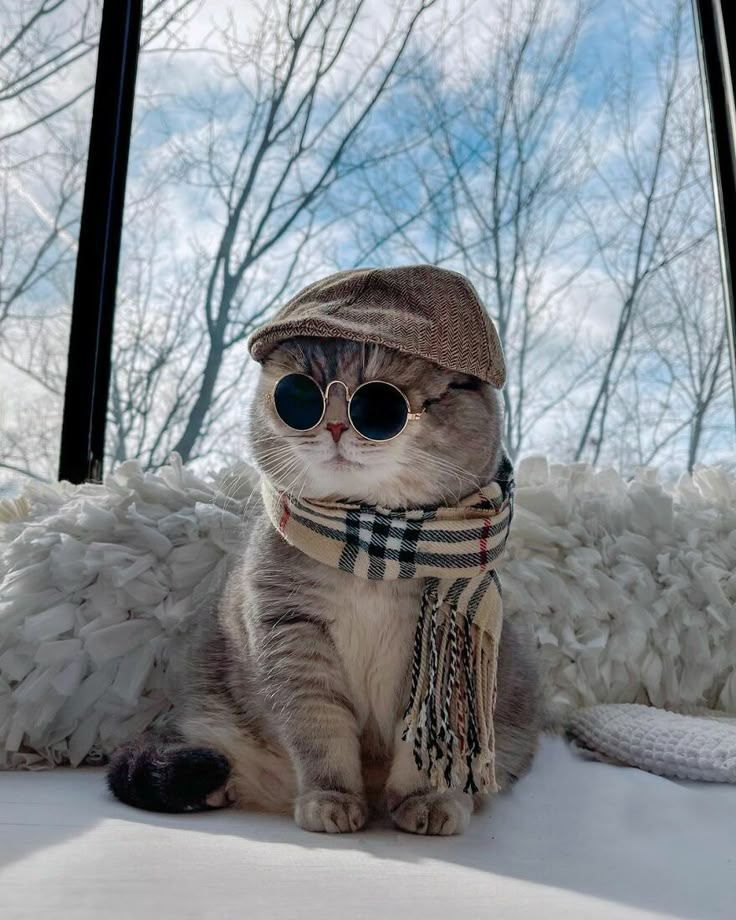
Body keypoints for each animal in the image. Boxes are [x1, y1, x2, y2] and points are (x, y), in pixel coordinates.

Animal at [106, 336, 536, 832]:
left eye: (380, 401)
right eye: (298, 394)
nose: (333, 424)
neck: (373, 552)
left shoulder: (438, 654)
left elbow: (425, 743)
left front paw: (426, 798)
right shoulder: (291, 637)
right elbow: (319, 730)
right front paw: (331, 796)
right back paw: (214, 788)